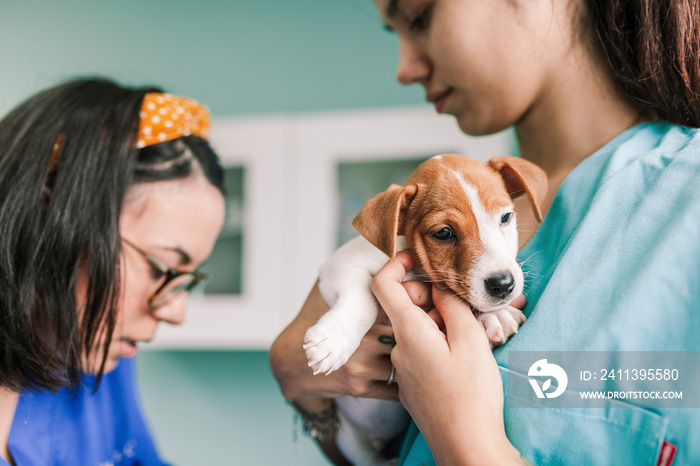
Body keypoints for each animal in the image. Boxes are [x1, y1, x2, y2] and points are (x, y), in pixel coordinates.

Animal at [304, 155, 548, 464]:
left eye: (505, 218)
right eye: (443, 233)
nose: (503, 284)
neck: (418, 272)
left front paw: (495, 316)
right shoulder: (343, 264)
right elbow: (364, 300)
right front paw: (334, 340)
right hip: (349, 438)